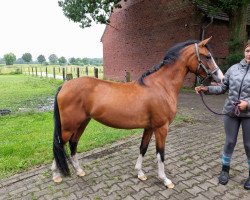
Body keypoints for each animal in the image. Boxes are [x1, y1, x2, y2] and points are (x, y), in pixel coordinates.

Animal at [51, 37, 224, 188]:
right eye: (207, 56)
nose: (221, 78)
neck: (162, 86)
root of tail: (64, 86)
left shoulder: (150, 127)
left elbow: (143, 148)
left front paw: (140, 173)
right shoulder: (162, 128)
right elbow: (161, 153)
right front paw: (165, 180)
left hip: (82, 123)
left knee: (73, 143)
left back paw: (79, 171)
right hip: (69, 126)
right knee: (59, 144)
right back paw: (56, 175)